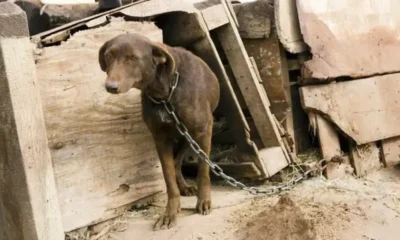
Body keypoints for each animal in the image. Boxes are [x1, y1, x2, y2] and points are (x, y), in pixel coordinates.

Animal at [98, 33, 220, 231]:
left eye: (132, 58)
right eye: (108, 56)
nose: (111, 86)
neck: (165, 93)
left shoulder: (203, 131)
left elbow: (203, 171)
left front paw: (204, 201)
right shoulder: (160, 139)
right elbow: (168, 177)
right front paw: (170, 213)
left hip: (189, 138)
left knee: (180, 161)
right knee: (176, 163)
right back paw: (184, 187)